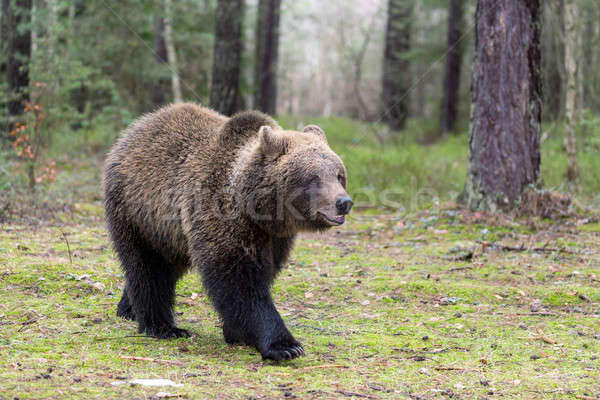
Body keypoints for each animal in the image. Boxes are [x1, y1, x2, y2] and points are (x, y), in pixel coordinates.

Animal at [103, 102, 354, 360]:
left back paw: (127, 309)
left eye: (339, 175)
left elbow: (263, 273)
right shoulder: (222, 216)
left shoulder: (274, 238)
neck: (259, 210)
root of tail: (134, 130)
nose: (343, 202)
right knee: (148, 267)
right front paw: (285, 345)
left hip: (170, 233)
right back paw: (163, 326)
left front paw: (237, 332)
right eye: (314, 177)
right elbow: (240, 282)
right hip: (139, 213)